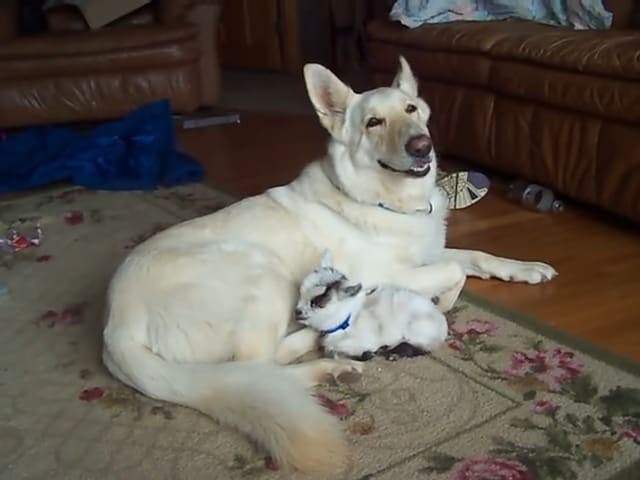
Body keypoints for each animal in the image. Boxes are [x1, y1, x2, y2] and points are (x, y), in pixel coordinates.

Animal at [101, 57, 556, 472]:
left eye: (410, 109)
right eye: (373, 122)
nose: (421, 146)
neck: (384, 199)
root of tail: (115, 326)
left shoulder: (427, 252)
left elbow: (475, 256)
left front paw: (526, 268)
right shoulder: (386, 275)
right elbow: (454, 273)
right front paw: (442, 302)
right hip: (263, 272)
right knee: (257, 369)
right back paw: (324, 359)